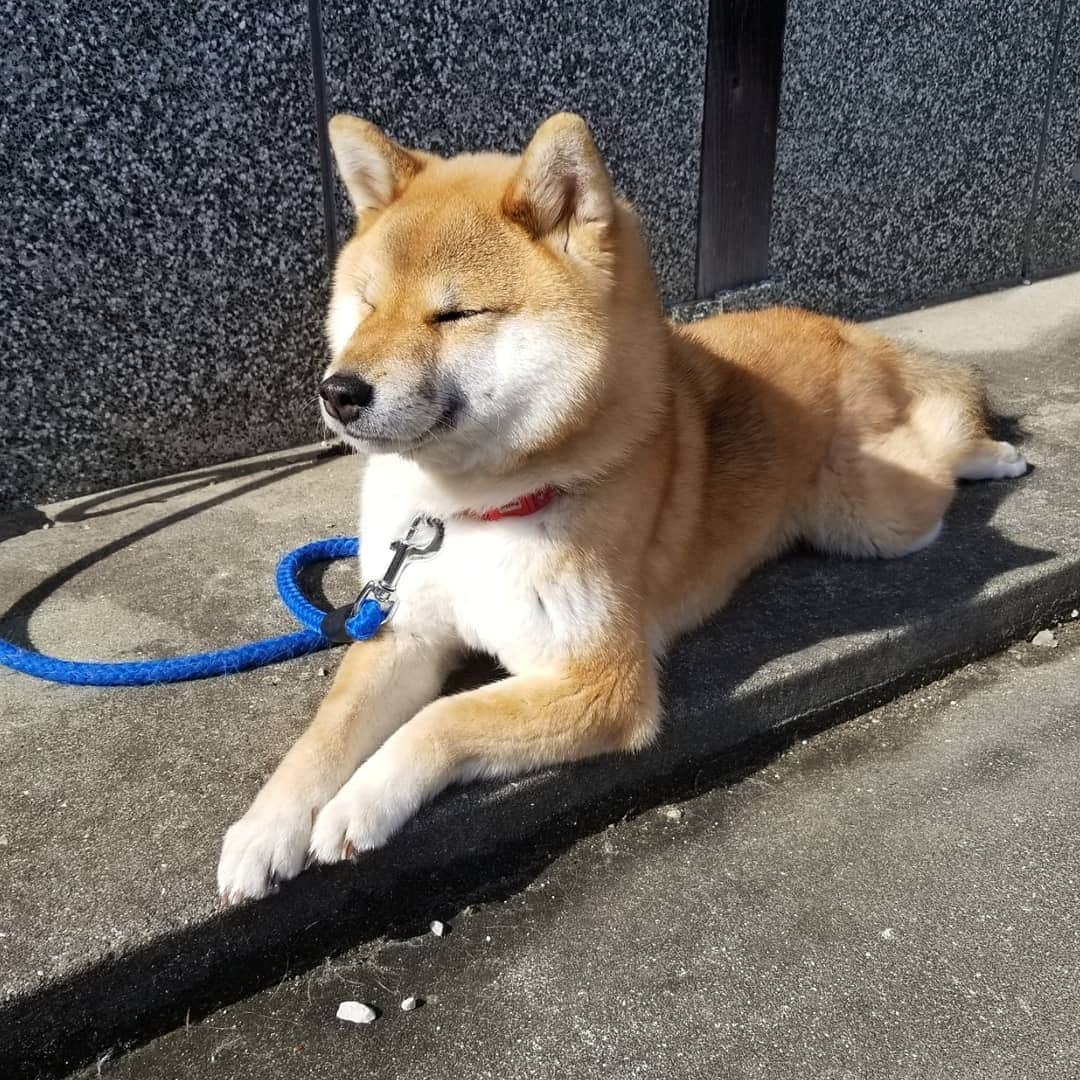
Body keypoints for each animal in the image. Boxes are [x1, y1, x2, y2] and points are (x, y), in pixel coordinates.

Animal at [214, 113, 1023, 898]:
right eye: (368, 305)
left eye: (455, 315)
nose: (338, 392)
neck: (468, 511)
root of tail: (837, 326)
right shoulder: (401, 626)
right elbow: (326, 731)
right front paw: (266, 828)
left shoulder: (604, 681)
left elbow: (442, 720)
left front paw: (359, 802)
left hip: (871, 518)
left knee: (937, 437)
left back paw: (993, 453)